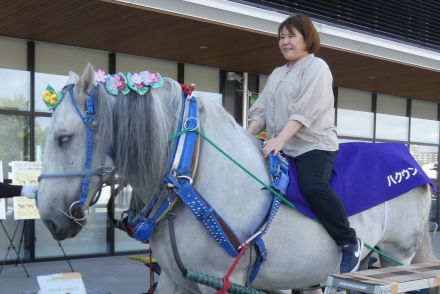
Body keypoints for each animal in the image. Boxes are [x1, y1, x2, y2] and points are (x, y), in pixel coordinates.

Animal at [38, 63, 436, 292]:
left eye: (64, 138)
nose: (49, 218)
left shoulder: (221, 280)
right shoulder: (175, 280)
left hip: (396, 257)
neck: (190, 174)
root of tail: (410, 160)